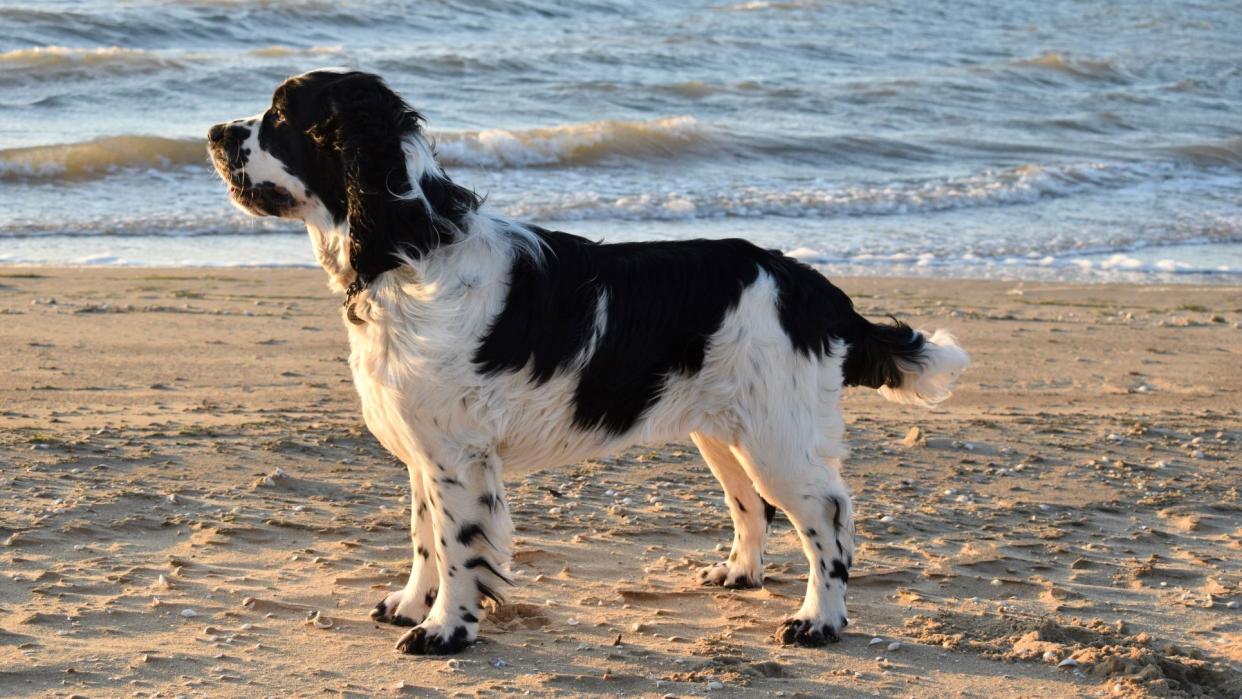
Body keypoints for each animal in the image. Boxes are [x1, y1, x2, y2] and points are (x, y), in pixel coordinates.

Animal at [208, 69, 968, 655]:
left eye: (280, 117)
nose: (214, 133)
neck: (408, 246)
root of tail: (811, 285)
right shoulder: (427, 448)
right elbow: (425, 536)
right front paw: (408, 604)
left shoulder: (457, 453)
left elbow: (456, 546)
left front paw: (445, 630)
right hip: (724, 431)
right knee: (753, 507)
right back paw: (739, 575)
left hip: (775, 435)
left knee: (829, 517)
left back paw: (819, 620)